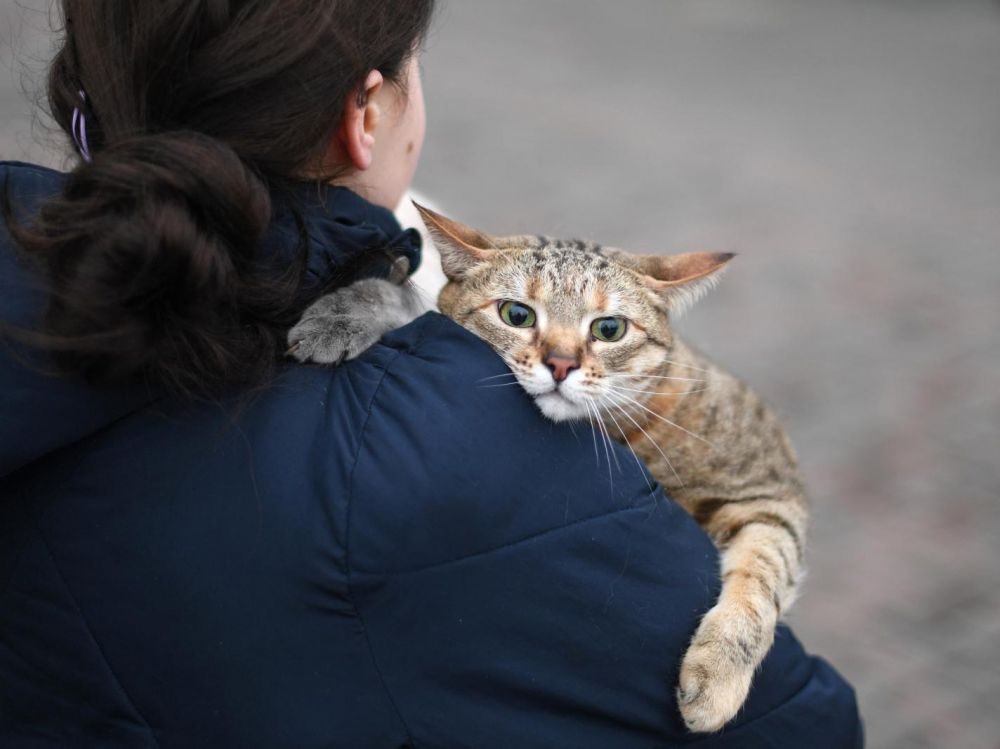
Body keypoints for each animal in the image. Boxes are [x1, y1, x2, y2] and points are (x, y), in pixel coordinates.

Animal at [286, 205, 808, 732]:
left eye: (609, 329)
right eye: (516, 315)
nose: (560, 364)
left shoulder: (770, 490)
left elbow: (762, 577)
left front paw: (718, 674)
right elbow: (409, 303)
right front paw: (342, 314)